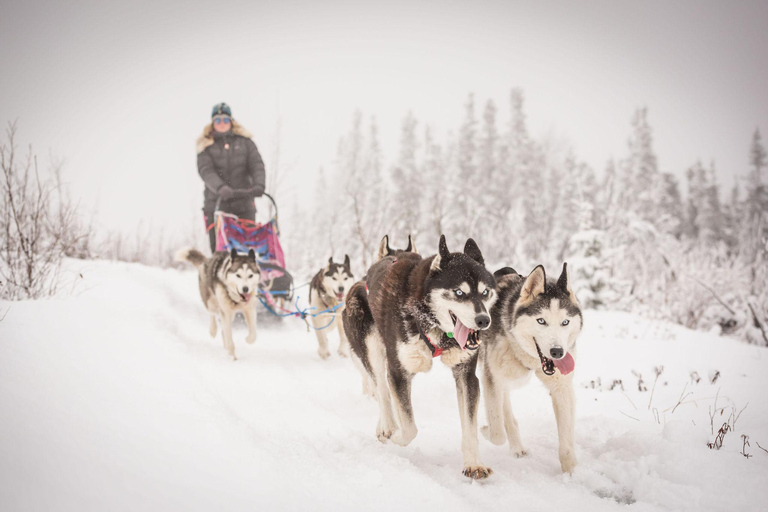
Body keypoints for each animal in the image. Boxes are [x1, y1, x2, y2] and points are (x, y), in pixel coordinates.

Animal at [344, 236, 498, 480]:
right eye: (459, 292)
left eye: (485, 293)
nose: (483, 320)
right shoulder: (398, 371)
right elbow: (409, 427)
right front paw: (397, 437)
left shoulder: (467, 376)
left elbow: (469, 426)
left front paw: (474, 464)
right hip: (371, 347)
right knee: (381, 389)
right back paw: (387, 425)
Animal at [480, 264, 584, 472]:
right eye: (541, 321)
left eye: (565, 322)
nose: (557, 352)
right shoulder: (491, 377)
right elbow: (497, 433)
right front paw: (487, 430)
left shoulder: (562, 387)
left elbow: (566, 443)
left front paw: (571, 473)